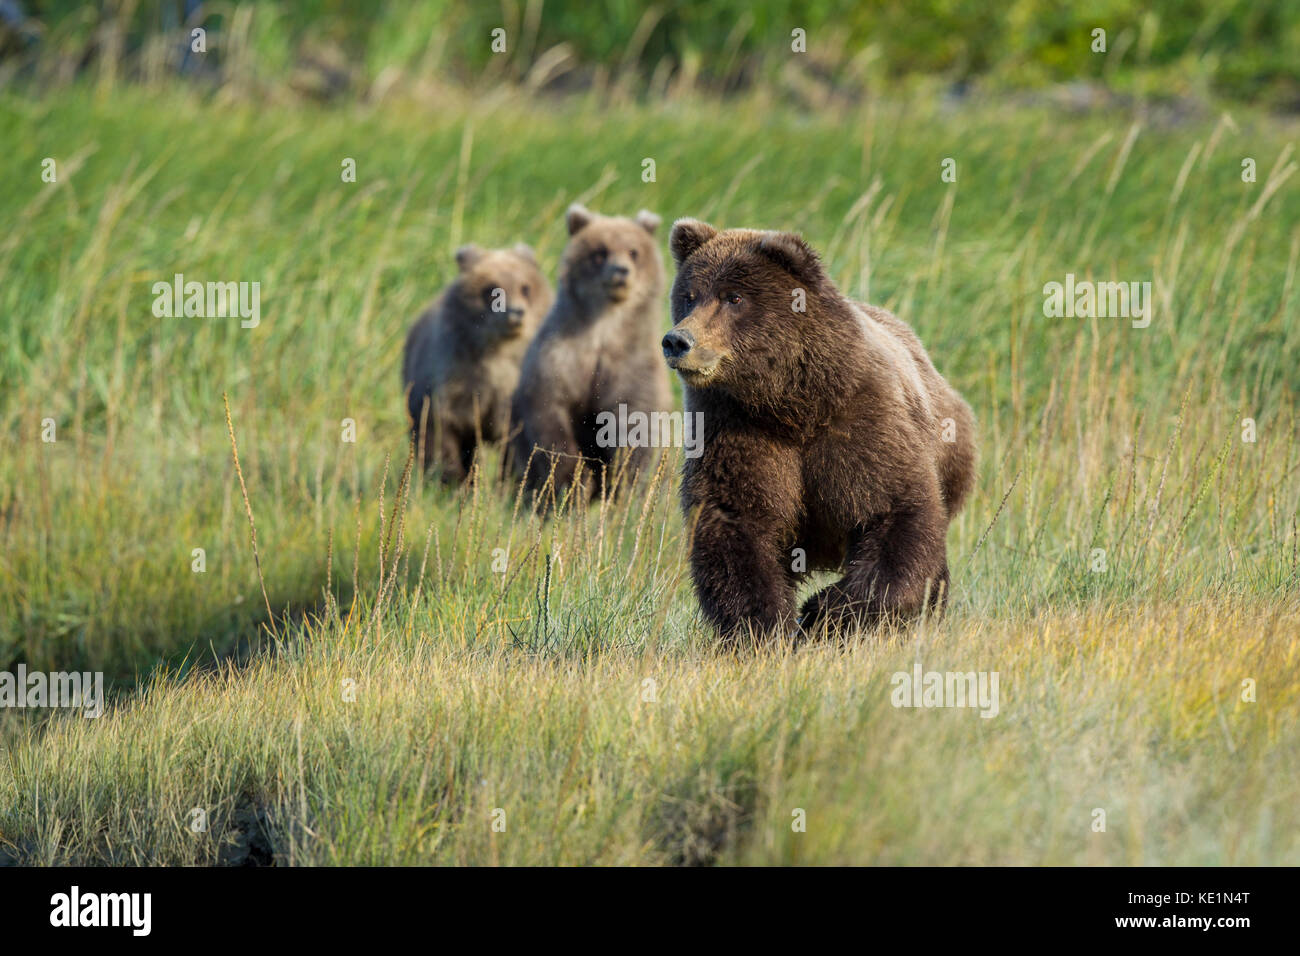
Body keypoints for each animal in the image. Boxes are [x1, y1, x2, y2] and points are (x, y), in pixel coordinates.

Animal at [402, 243, 552, 482]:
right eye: (491, 288)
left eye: (525, 287)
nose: (516, 313)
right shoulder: (453, 378)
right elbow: (441, 432)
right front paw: (450, 479)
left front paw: (509, 481)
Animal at [511, 204, 673, 502]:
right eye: (600, 251)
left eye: (634, 251)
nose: (621, 271)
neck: (603, 330)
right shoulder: (562, 357)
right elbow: (551, 417)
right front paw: (574, 481)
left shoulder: (632, 366)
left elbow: (636, 422)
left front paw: (624, 478)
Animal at [662, 219, 977, 642]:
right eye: (689, 296)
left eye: (734, 297)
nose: (678, 340)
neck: (796, 406)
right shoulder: (737, 429)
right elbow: (738, 522)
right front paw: (767, 626)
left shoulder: (864, 424)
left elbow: (897, 513)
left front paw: (822, 613)